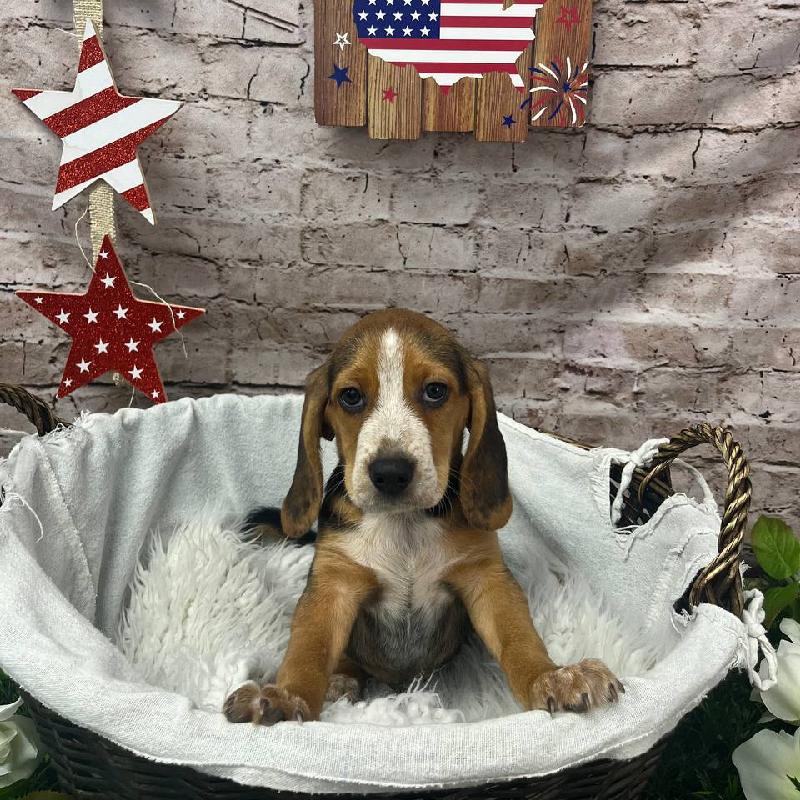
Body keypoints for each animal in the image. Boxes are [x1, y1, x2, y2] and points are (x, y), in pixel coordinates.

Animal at [224, 308, 622, 725]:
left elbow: (518, 638)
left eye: (435, 391)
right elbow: (309, 648)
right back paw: (342, 679)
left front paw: (552, 677)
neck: (406, 523)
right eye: (351, 397)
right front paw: (286, 696)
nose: (390, 472)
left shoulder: (486, 577)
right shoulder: (334, 582)